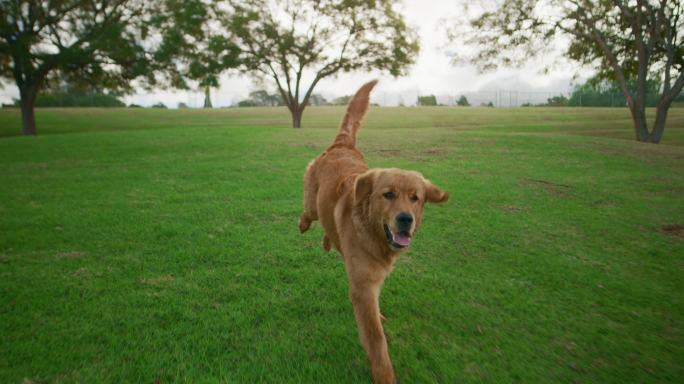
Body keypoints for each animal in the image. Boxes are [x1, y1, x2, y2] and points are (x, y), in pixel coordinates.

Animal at [300, 79, 448, 382]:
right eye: (388, 194)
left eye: (415, 198)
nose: (405, 219)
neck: (372, 233)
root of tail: (342, 144)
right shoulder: (363, 287)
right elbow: (377, 339)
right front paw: (384, 374)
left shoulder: (372, 282)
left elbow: (374, 317)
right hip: (311, 201)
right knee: (308, 213)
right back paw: (305, 224)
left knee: (328, 229)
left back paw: (328, 241)